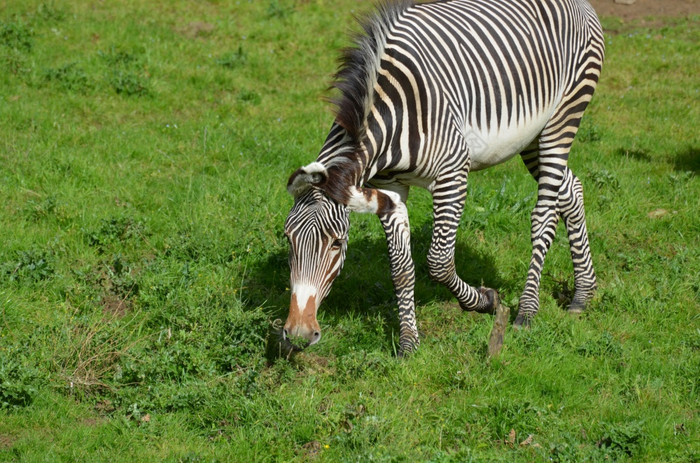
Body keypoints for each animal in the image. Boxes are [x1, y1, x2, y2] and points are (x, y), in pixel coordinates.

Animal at [282, 0, 604, 356]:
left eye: (337, 243)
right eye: (288, 240)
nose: (298, 334)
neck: (390, 114)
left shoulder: (453, 174)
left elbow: (438, 261)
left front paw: (484, 301)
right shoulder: (391, 189)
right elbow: (401, 269)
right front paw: (409, 343)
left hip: (563, 118)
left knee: (544, 215)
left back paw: (528, 311)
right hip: (532, 137)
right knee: (571, 189)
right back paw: (582, 294)